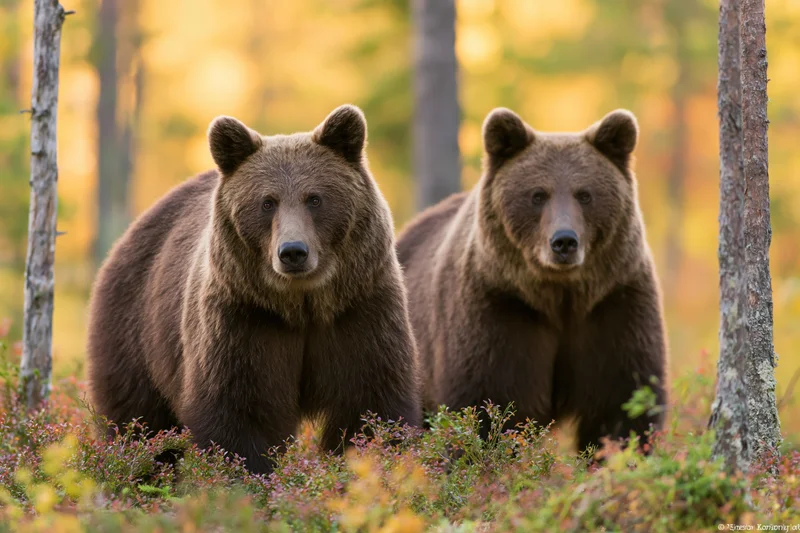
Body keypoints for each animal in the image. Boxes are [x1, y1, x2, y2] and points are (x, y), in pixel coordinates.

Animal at [87, 104, 422, 474]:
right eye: (267, 202)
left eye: (315, 198)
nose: (293, 251)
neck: (303, 305)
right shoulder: (244, 319)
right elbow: (239, 414)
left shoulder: (360, 311)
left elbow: (371, 405)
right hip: (135, 331)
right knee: (140, 421)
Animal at [397, 107, 667, 454]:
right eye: (538, 194)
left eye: (585, 194)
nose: (564, 241)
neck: (560, 296)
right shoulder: (500, 307)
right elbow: (489, 403)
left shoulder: (614, 302)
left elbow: (622, 402)